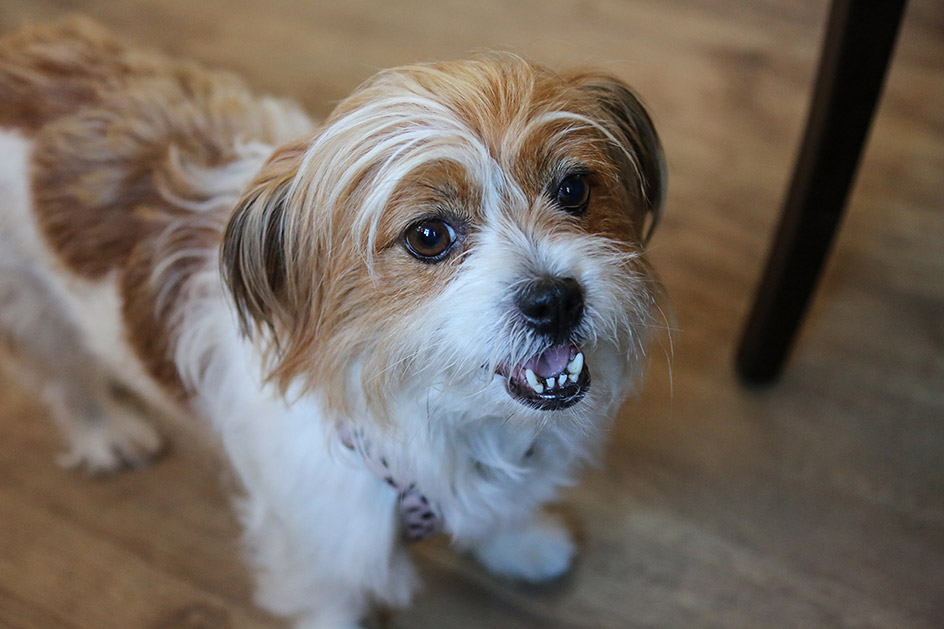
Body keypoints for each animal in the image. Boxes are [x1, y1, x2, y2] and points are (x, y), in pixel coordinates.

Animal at [0, 18, 664, 628]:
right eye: (429, 236)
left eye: (573, 190)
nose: (555, 300)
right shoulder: (323, 554)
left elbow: (497, 512)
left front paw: (518, 544)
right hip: (30, 308)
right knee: (64, 379)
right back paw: (105, 431)